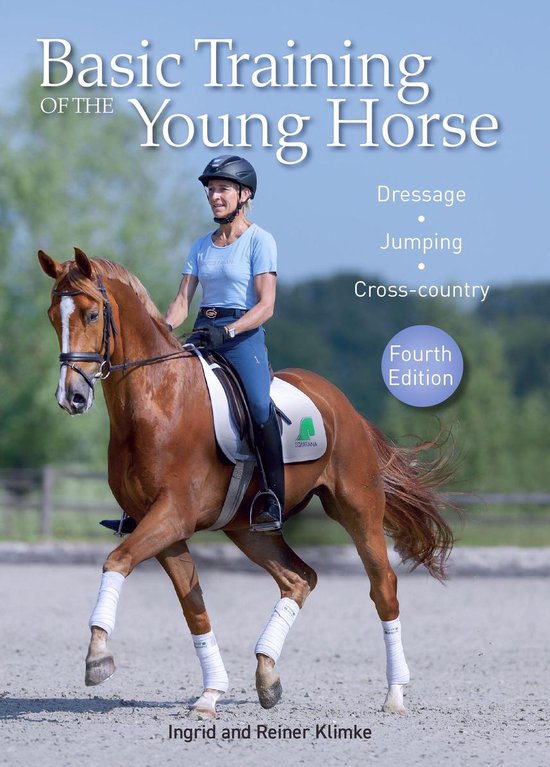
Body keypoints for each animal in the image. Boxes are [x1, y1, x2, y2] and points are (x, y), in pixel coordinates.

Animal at [38, 247, 454, 719]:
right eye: (53, 316)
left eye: (91, 314)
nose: (72, 397)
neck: (158, 402)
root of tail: (343, 405)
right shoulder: (160, 526)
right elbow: (193, 607)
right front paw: (210, 694)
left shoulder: (173, 515)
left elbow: (117, 561)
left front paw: (98, 657)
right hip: (249, 529)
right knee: (299, 578)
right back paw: (267, 673)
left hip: (358, 508)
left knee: (383, 587)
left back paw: (395, 693)